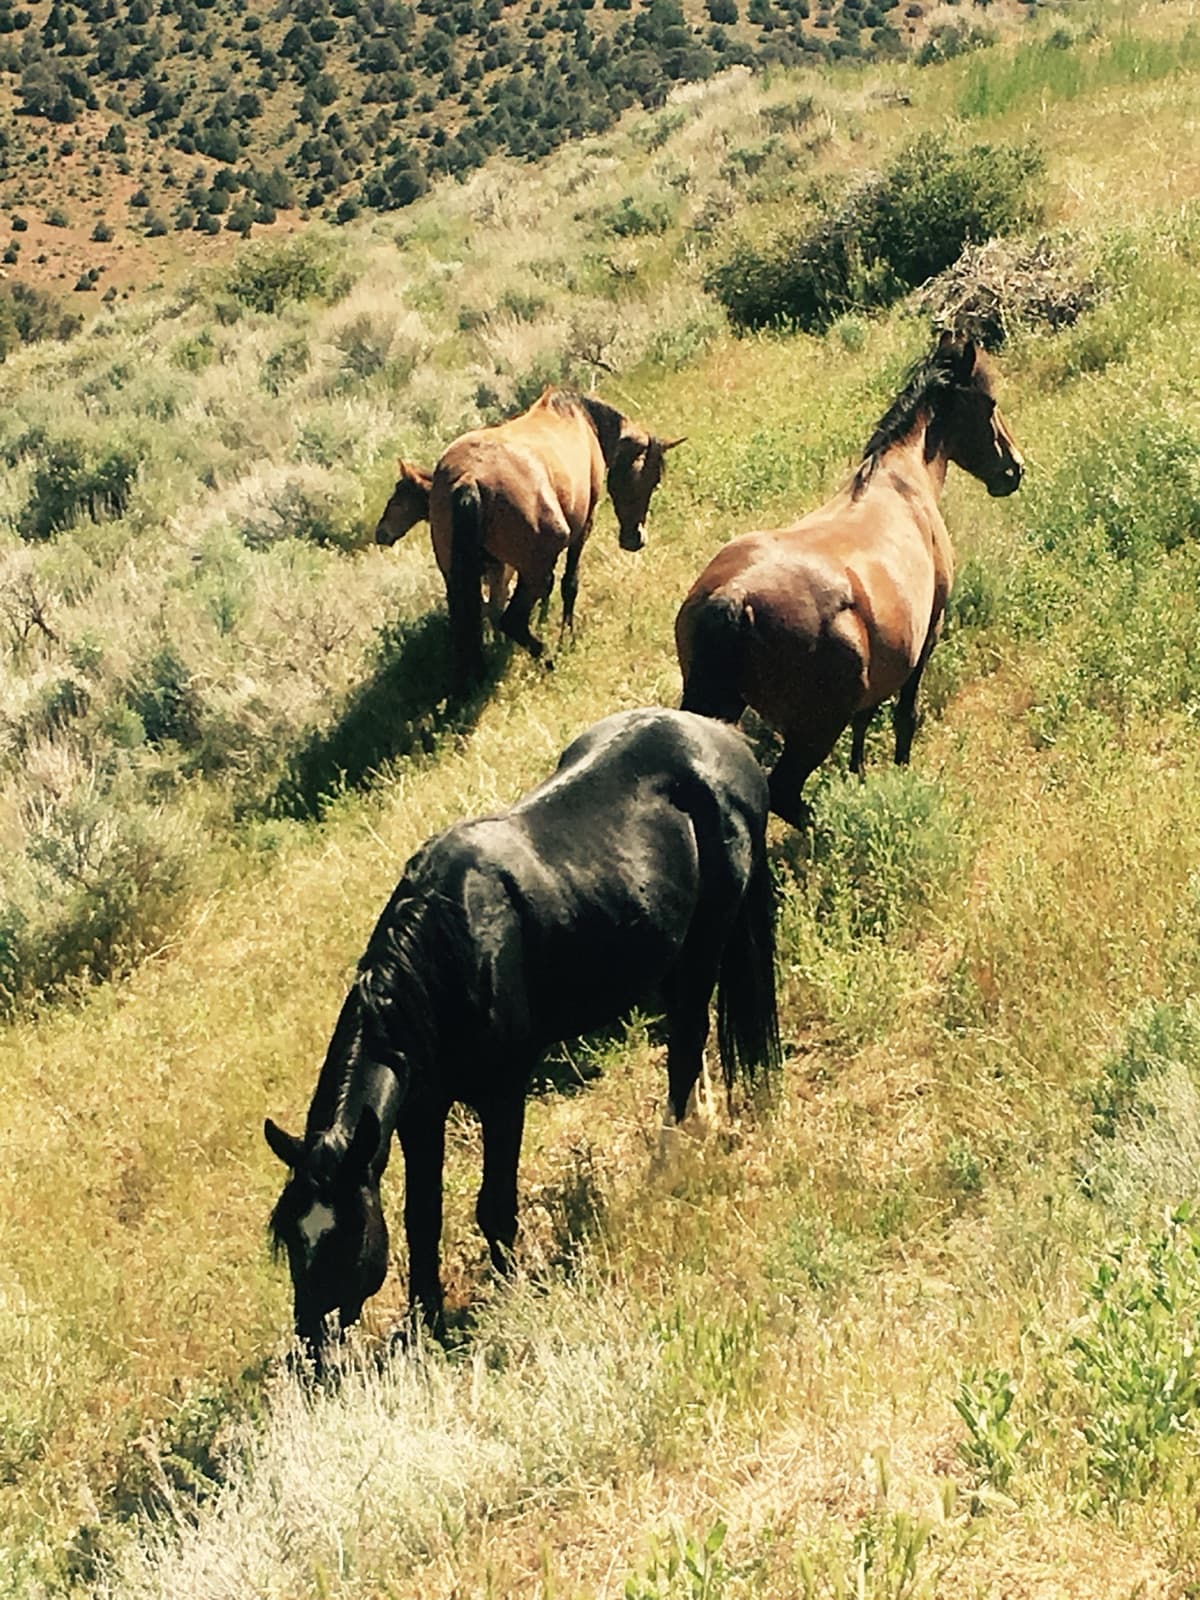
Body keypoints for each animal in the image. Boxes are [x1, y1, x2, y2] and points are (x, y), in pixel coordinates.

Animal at [264, 707, 780, 1366]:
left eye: (345, 1233)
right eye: (290, 1236)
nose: (311, 1348)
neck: (447, 950)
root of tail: (728, 741)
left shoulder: (503, 1095)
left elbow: (494, 1206)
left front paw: (509, 1294)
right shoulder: (418, 1115)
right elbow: (422, 1219)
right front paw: (424, 1321)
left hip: (705, 945)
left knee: (688, 1044)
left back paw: (666, 1163)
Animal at [430, 388, 683, 691]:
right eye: (652, 480)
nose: (636, 539)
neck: (581, 419)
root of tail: (469, 478)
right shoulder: (582, 529)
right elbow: (569, 584)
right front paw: (567, 637)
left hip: (457, 575)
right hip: (532, 568)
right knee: (512, 621)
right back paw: (548, 659)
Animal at [675, 333, 1024, 825]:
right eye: (989, 403)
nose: (1014, 469)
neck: (900, 481)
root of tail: (732, 597)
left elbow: (866, 718)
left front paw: (859, 774)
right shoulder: (928, 635)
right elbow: (905, 715)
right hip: (814, 729)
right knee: (784, 793)